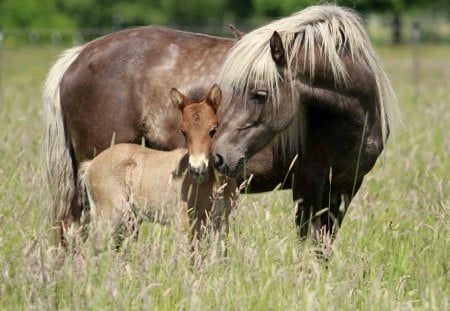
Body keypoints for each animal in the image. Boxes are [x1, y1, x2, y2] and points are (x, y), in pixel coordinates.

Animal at [78, 85, 237, 249]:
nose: (196, 169)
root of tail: (90, 164)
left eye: (213, 130)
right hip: (109, 215)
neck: (215, 182)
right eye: (183, 131)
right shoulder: (185, 224)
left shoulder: (221, 224)